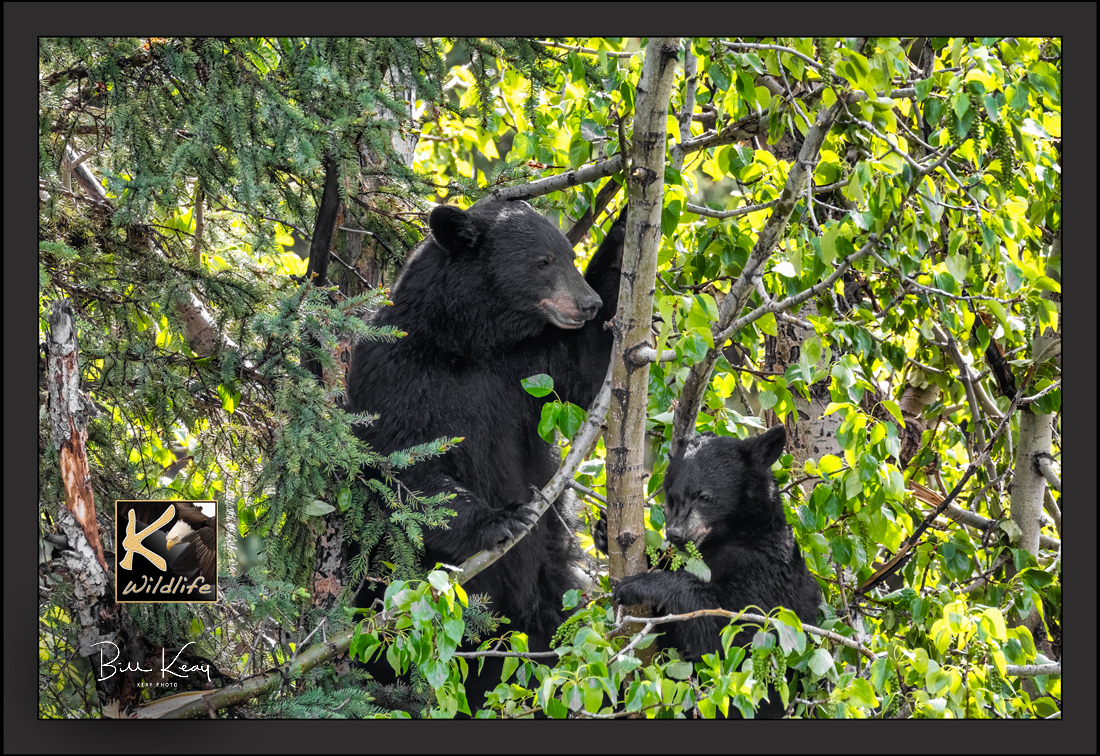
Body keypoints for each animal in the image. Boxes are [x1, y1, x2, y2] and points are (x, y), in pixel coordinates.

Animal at [344, 198, 626, 712]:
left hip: (550, 590)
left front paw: (626, 228)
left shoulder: (526, 366)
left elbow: (585, 364)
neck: (465, 344)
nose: (589, 302)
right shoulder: (391, 371)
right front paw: (501, 520)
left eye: (568, 255)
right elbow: (403, 462)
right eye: (543, 262)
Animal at [611, 425, 821, 718]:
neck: (735, 535)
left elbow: (729, 635)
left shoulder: (764, 572)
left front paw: (640, 584)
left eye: (704, 496)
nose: (675, 534)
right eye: (672, 497)